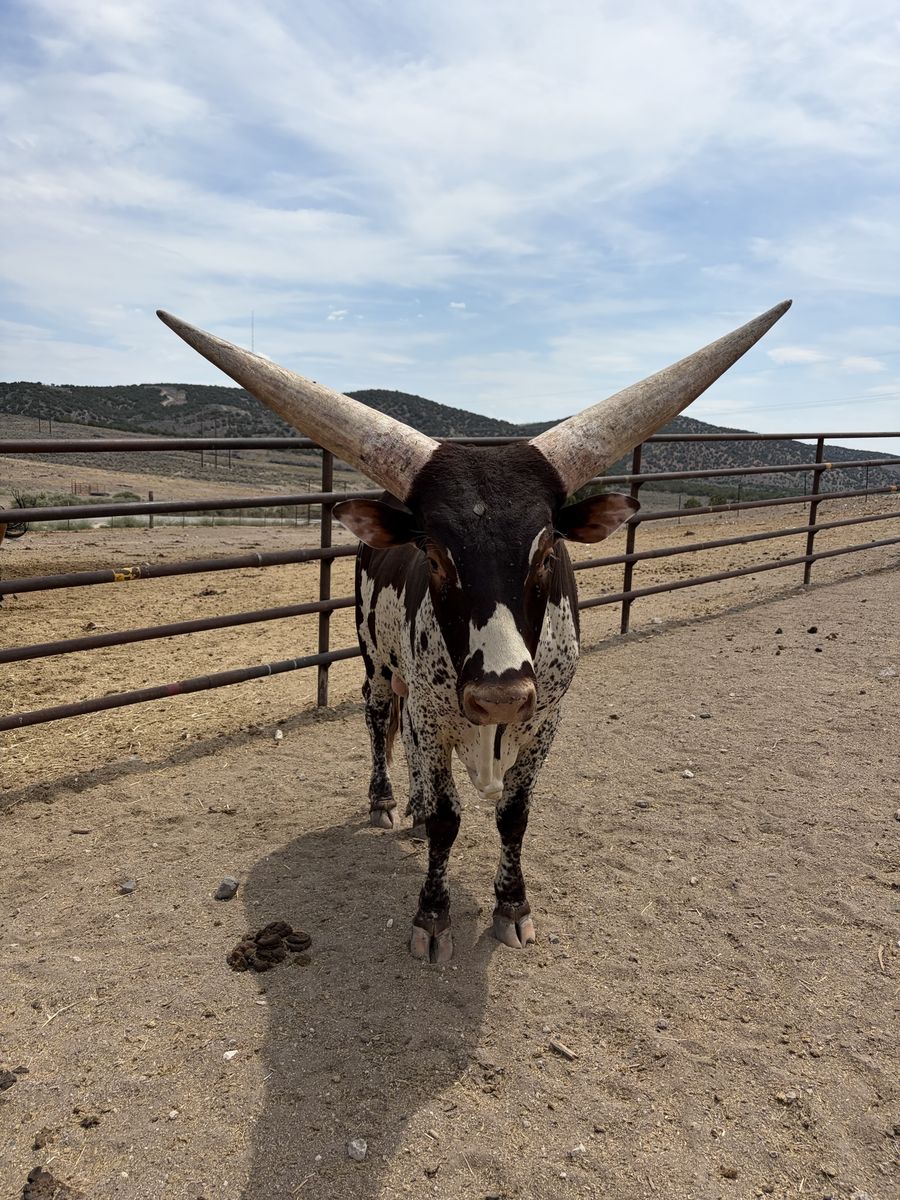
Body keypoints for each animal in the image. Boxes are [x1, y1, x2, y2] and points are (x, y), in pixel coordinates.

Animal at [158, 300, 791, 962]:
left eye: (547, 552)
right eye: (434, 554)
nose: (500, 695)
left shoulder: (546, 718)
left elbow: (513, 816)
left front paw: (513, 907)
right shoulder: (433, 711)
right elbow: (445, 817)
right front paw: (432, 917)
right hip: (377, 661)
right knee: (380, 721)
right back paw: (389, 801)